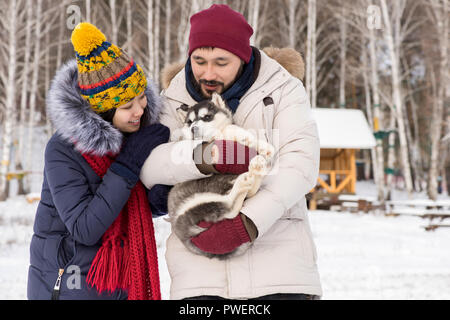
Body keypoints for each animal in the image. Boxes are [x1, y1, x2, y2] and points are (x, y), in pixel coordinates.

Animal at [168, 93, 274, 260]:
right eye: (189, 122)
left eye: (207, 117)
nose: (193, 129)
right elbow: (227, 130)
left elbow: (233, 129)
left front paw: (261, 146)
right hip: (192, 204)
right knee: (229, 206)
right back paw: (244, 181)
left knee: (245, 195)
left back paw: (255, 169)